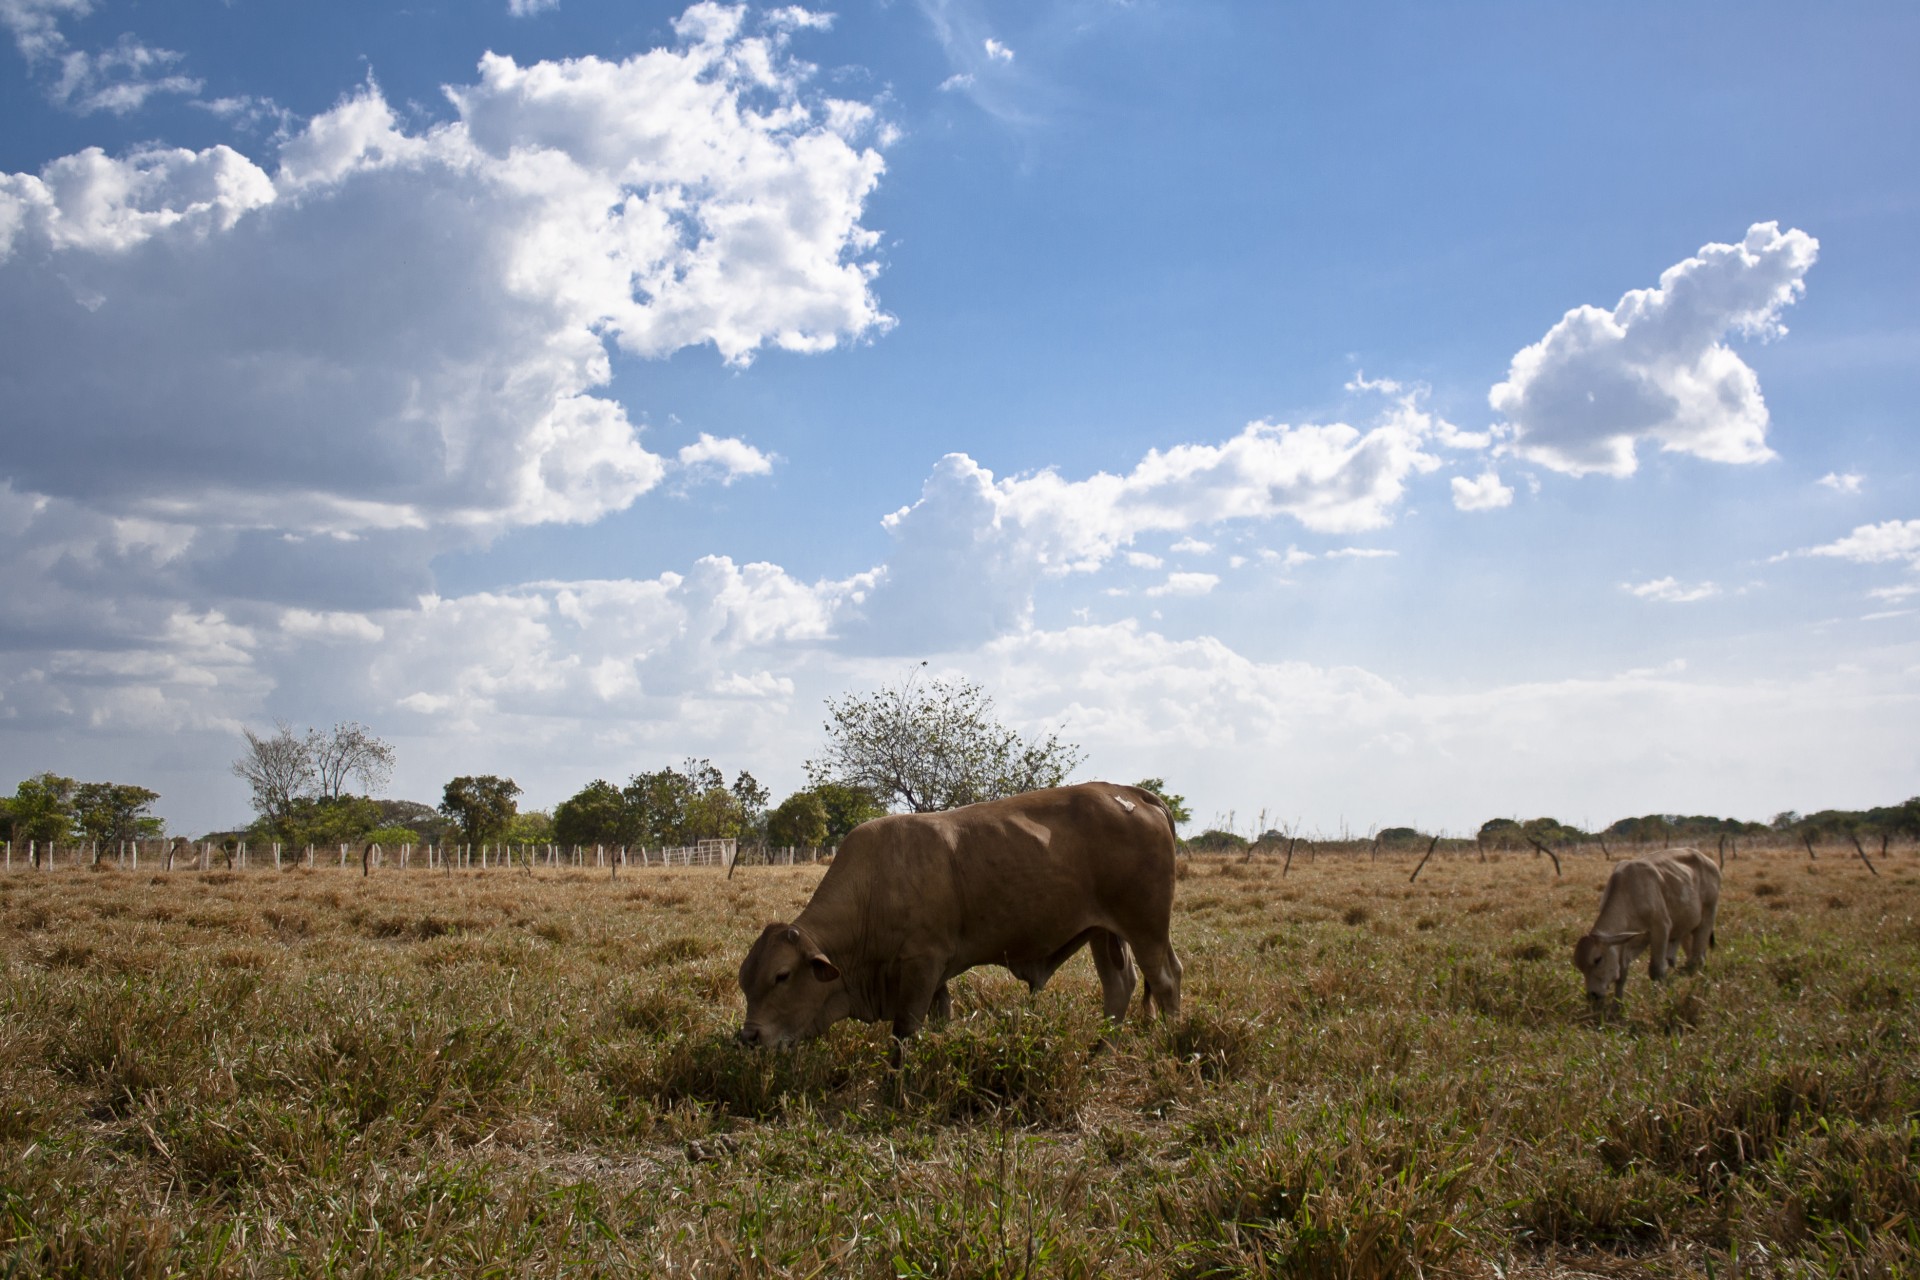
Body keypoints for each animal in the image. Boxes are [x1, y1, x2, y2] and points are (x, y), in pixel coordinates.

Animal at [737, 786, 1175, 1043]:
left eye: (781, 976)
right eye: (745, 983)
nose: (749, 1037)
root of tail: (1130, 793)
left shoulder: (921, 964)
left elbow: (904, 1032)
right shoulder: (936, 975)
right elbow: (940, 1017)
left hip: (1147, 928)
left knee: (1167, 980)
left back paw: (1168, 1042)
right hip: (1105, 932)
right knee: (1119, 987)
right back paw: (1101, 1048)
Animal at [1566, 844, 1720, 1005]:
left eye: (1597, 959)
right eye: (1580, 966)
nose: (1593, 995)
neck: (1630, 892)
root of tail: (1709, 861)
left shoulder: (1661, 927)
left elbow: (1656, 970)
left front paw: (1660, 998)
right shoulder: (1623, 941)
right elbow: (1621, 976)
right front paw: (1617, 1005)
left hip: (1708, 914)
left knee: (1698, 958)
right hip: (1686, 926)